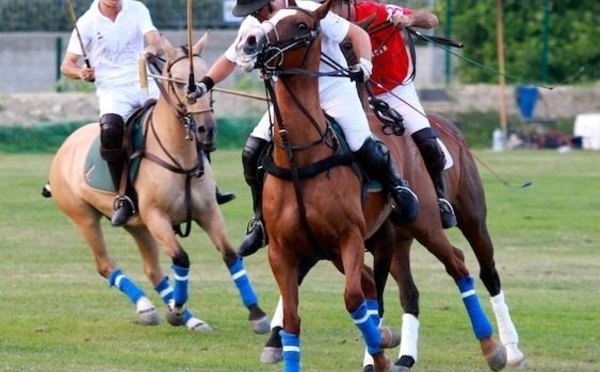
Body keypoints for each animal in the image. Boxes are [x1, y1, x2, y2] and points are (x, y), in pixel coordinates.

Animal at [46, 32, 270, 334]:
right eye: (176, 80)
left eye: (206, 77)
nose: (206, 130)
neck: (181, 157)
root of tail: (66, 145)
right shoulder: (157, 217)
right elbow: (181, 258)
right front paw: (176, 310)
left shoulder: (208, 212)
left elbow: (230, 255)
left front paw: (256, 313)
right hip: (84, 217)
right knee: (106, 265)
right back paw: (149, 307)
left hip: (137, 225)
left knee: (153, 270)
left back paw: (187, 318)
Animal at [234, 1, 506, 370]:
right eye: (267, 19)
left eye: (302, 25)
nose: (250, 42)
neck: (300, 157)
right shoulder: (282, 250)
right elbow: (294, 319)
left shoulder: (349, 237)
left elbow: (354, 299)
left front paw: (380, 351)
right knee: (393, 287)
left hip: (436, 221)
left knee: (464, 264)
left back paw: (499, 349)